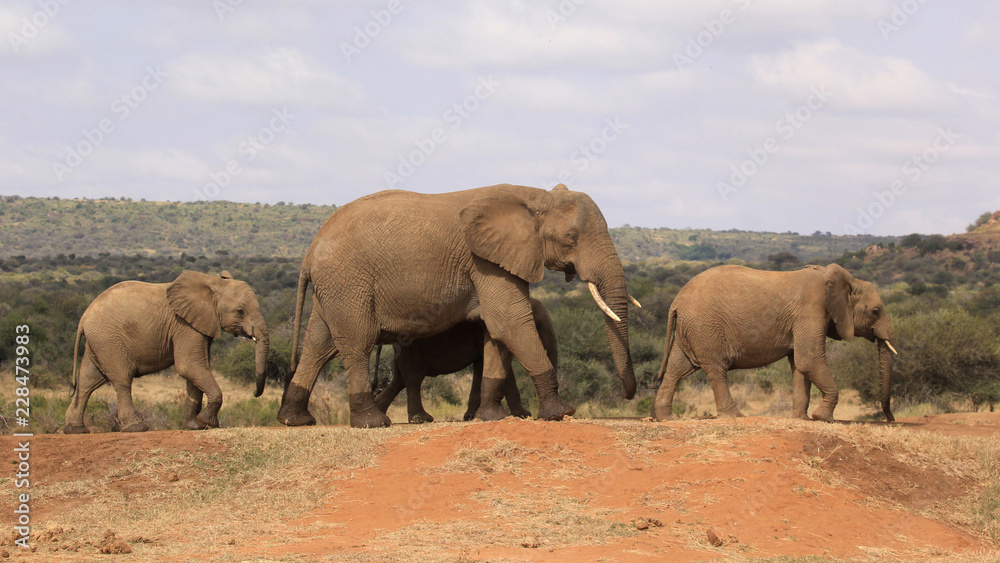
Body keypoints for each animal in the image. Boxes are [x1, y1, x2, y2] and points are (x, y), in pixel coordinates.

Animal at [63, 270, 270, 433]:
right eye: (240, 311)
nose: (254, 393)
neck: (212, 282)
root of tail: (84, 317)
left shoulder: (200, 325)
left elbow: (197, 370)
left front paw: (195, 426)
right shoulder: (185, 325)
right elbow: (190, 366)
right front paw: (208, 422)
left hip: (98, 342)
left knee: (88, 381)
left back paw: (75, 429)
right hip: (109, 340)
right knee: (122, 379)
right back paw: (137, 428)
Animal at [372, 297, 558, 423]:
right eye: (538, 325)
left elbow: (481, 367)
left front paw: (471, 416)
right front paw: (524, 415)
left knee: (399, 380)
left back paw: (379, 411)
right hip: (413, 348)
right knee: (413, 378)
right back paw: (421, 419)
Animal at [654, 264, 896, 422]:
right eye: (876, 311)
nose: (890, 419)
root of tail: (676, 300)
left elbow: (799, 365)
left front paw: (801, 419)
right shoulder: (812, 310)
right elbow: (809, 360)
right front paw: (821, 417)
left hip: (692, 328)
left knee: (676, 369)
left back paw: (667, 418)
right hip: (706, 328)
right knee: (716, 370)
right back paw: (736, 416)